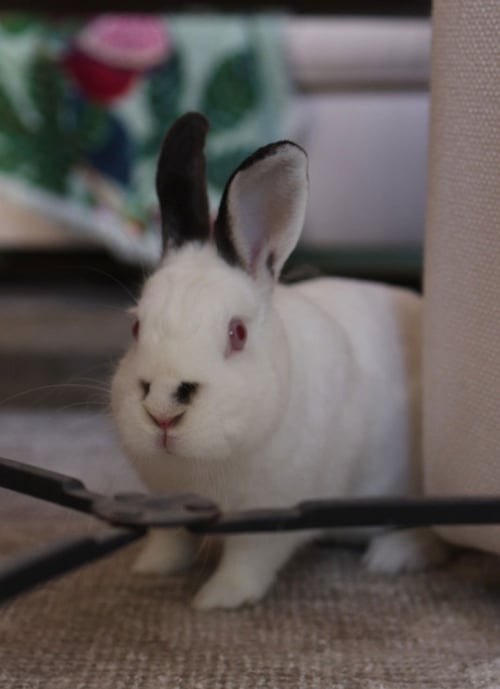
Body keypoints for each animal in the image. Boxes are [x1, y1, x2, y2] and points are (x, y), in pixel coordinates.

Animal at [111, 112, 448, 610]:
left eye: (237, 333)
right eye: (135, 327)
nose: (163, 410)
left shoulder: (271, 516)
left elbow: (248, 562)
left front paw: (216, 599)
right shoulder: (166, 502)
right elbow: (171, 539)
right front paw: (151, 569)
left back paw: (394, 555)